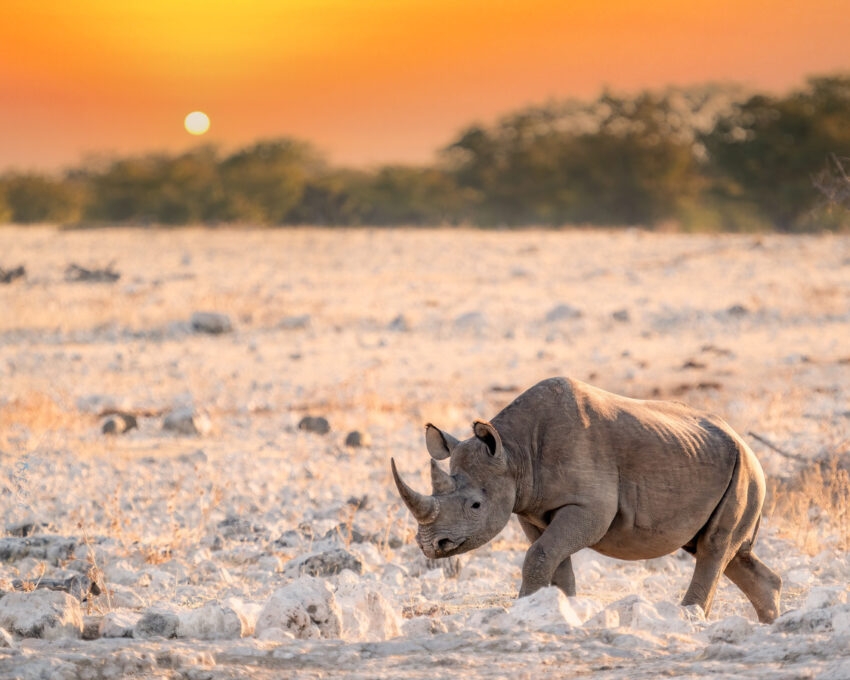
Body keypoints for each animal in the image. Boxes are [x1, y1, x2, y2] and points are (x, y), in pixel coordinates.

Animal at [391, 377, 781, 623]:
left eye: (475, 506)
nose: (430, 545)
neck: (514, 454)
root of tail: (745, 443)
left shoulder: (590, 508)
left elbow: (540, 555)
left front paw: (524, 610)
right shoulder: (531, 511)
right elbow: (553, 560)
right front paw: (562, 610)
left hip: (745, 472)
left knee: (714, 548)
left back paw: (689, 619)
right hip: (722, 466)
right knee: (724, 552)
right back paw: (769, 624)